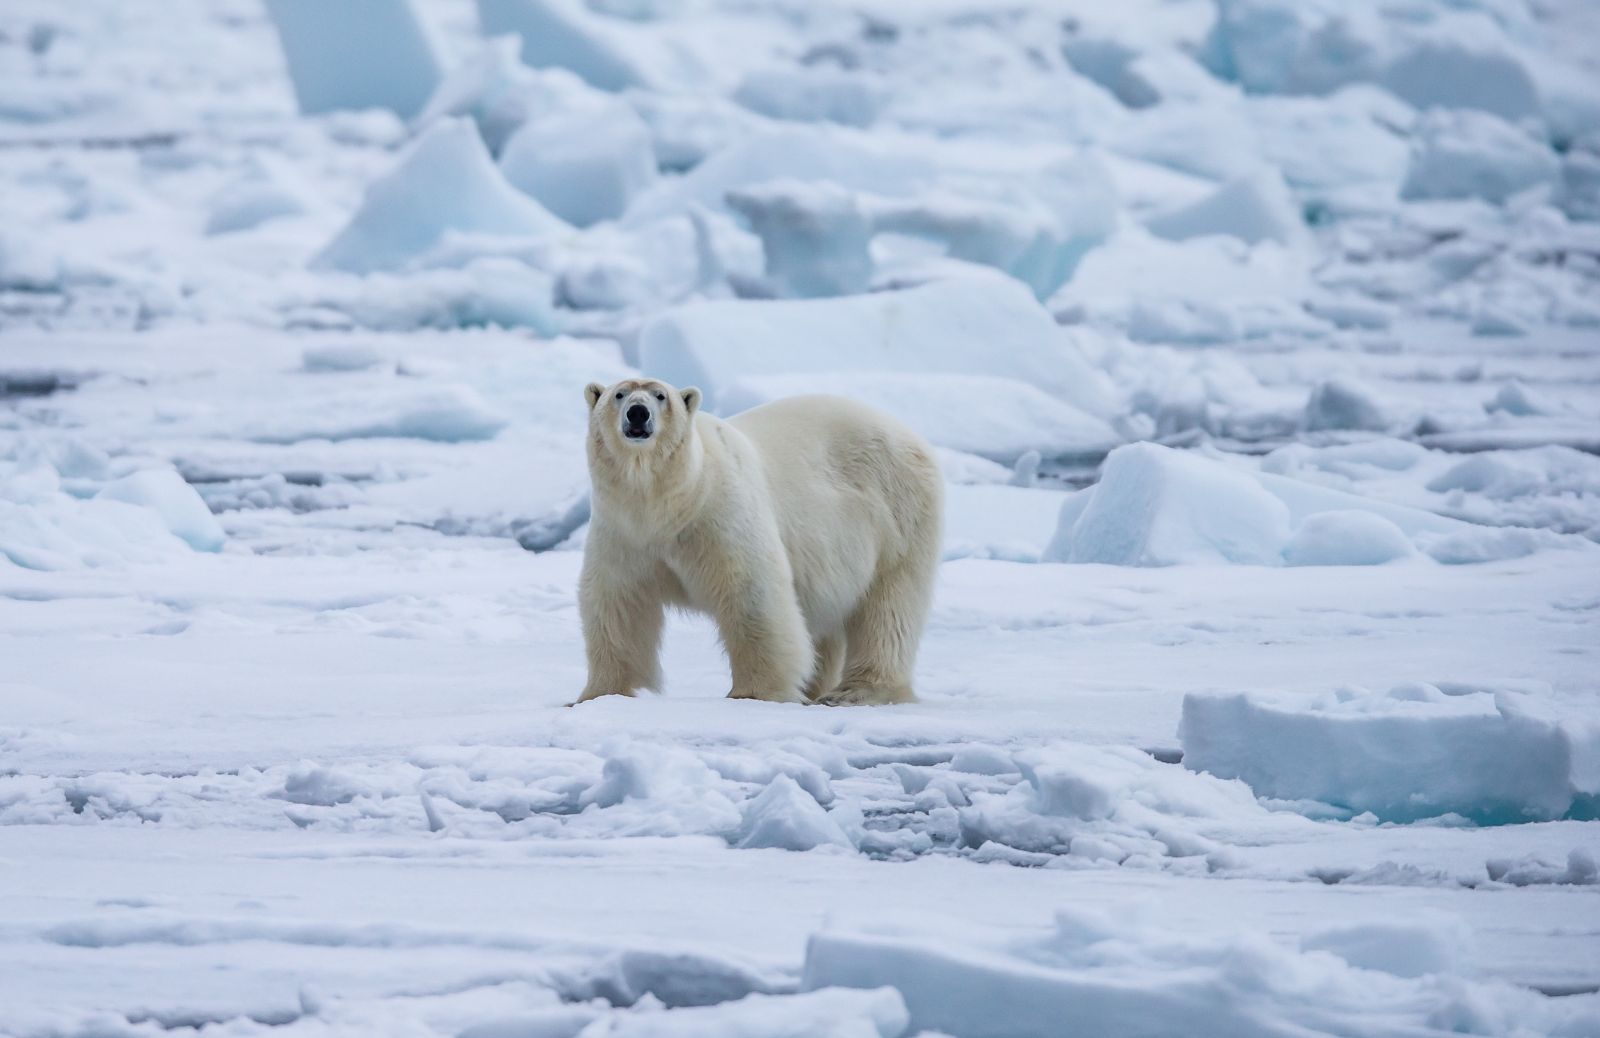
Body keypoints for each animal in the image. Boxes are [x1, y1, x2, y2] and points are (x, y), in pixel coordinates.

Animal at [576, 375, 940, 706]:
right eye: (619, 394)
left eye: (660, 395)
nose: (637, 413)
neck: (669, 502)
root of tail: (911, 436)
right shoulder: (624, 534)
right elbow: (617, 606)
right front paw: (596, 695)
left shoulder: (720, 515)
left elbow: (751, 595)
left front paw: (754, 693)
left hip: (898, 514)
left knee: (889, 609)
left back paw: (857, 691)